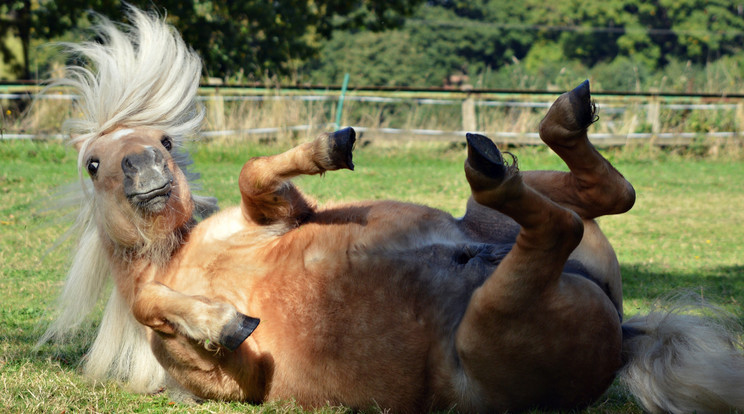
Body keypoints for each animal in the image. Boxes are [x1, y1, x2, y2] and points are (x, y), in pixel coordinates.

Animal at [39, 7, 744, 414]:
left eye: (164, 141)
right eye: (93, 163)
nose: (144, 168)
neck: (183, 258)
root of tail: (625, 331)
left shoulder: (276, 212)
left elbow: (255, 173)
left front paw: (330, 146)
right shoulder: (237, 384)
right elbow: (149, 306)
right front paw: (221, 321)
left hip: (501, 233)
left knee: (599, 200)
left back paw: (543, 128)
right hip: (489, 322)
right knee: (561, 224)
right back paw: (500, 162)